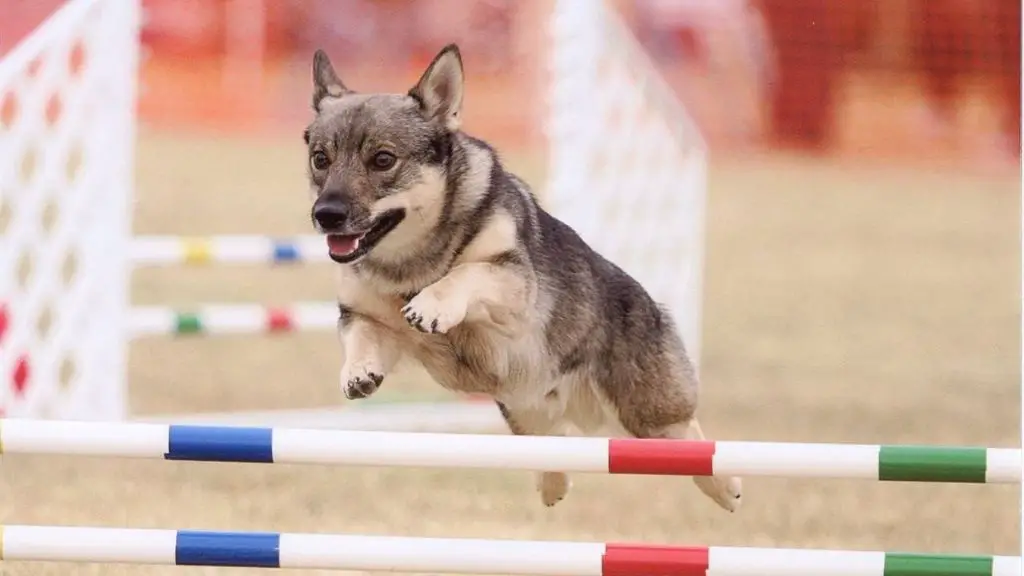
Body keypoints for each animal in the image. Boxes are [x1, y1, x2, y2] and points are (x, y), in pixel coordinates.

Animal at [299, 45, 741, 510]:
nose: (326, 215)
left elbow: (466, 273)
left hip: (648, 413)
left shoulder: (512, 285)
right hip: (529, 413)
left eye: (383, 160)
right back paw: (552, 486)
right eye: (320, 159)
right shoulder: (365, 319)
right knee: (554, 447)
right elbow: (362, 339)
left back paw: (726, 486)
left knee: (688, 434)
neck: (412, 262)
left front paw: (433, 305)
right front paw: (358, 373)